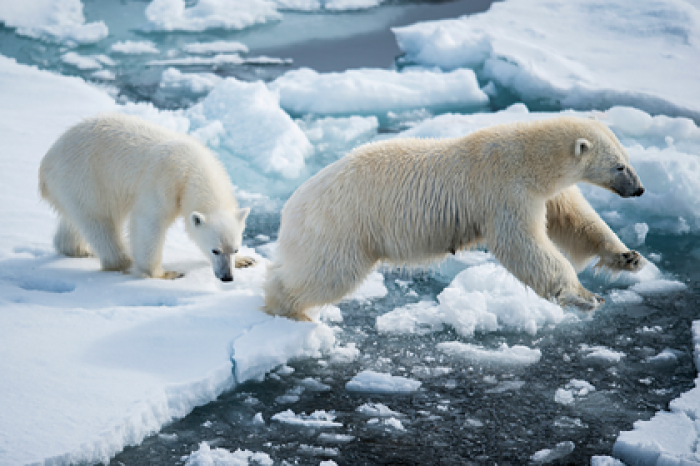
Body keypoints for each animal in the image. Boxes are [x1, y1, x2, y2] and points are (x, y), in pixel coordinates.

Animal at [40, 113, 254, 280]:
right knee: (100, 222)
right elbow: (148, 223)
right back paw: (122, 261)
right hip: (85, 179)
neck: (193, 168)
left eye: (234, 249)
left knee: (74, 221)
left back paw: (77, 249)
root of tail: (47, 162)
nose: (227, 277)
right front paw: (163, 273)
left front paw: (245, 260)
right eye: (215, 250)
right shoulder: (164, 181)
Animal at [266, 115, 644, 320]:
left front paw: (628, 257)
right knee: (328, 273)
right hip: (340, 226)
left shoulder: (546, 192)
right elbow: (523, 245)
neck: (528, 159)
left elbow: (577, 221)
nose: (639, 190)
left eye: (627, 159)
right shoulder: (503, 191)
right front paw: (585, 296)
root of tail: (292, 205)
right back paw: (288, 308)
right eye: (619, 166)